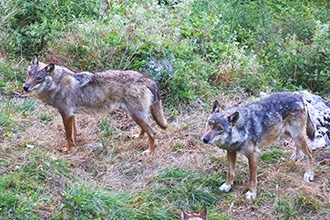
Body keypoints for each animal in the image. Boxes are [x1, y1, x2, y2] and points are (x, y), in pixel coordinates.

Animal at [23, 55, 168, 154]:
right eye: (29, 74)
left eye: (39, 78)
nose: (25, 87)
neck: (57, 84)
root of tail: (147, 79)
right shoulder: (72, 115)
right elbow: (74, 134)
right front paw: (75, 144)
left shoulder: (66, 114)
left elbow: (68, 136)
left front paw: (67, 150)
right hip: (137, 115)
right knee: (145, 130)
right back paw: (137, 137)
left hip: (136, 115)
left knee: (152, 133)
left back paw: (149, 152)